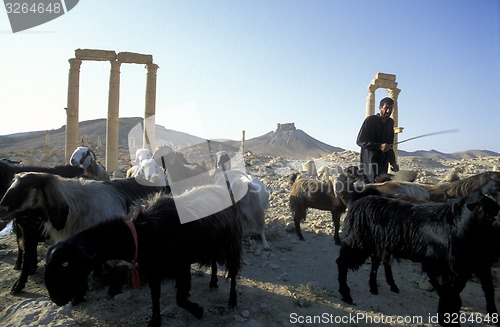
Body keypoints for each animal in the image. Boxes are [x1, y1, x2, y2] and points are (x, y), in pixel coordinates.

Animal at [45, 186, 244, 327]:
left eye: (66, 264)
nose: (56, 299)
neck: (141, 234)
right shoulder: (153, 270)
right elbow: (155, 297)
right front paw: (155, 321)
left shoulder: (181, 266)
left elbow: (180, 299)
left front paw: (198, 311)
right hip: (212, 245)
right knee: (214, 262)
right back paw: (213, 283)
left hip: (231, 245)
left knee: (233, 274)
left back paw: (233, 301)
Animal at [336, 181, 500, 326]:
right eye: (488, 197)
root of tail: (360, 199)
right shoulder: (437, 266)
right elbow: (451, 298)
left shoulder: (474, 266)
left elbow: (485, 290)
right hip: (358, 241)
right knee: (342, 262)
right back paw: (346, 295)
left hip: (379, 243)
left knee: (377, 261)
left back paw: (376, 287)